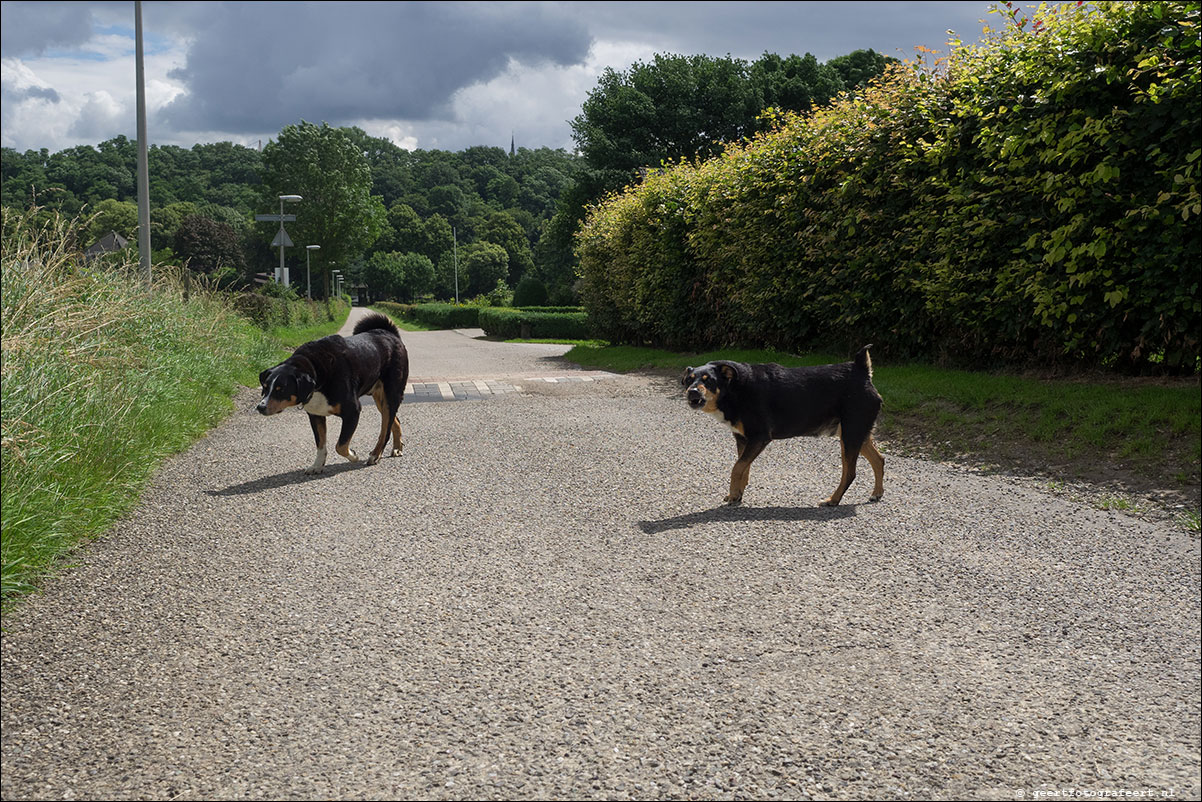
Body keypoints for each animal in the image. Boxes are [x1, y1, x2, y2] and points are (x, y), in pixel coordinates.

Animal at [257, 312, 408, 476]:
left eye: (281, 389)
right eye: (265, 387)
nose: (260, 407)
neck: (318, 374)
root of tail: (389, 333)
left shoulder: (352, 412)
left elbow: (340, 445)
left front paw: (353, 455)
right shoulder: (316, 415)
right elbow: (321, 445)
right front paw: (317, 465)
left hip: (390, 395)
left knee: (385, 430)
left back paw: (375, 455)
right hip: (381, 399)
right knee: (395, 421)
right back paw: (397, 447)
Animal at [687, 346, 884, 507]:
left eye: (708, 380)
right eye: (689, 380)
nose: (692, 391)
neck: (734, 389)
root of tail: (862, 370)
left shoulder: (759, 437)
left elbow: (737, 467)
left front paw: (734, 494)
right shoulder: (743, 439)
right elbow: (744, 468)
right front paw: (737, 493)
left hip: (851, 433)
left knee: (850, 473)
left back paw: (833, 500)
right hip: (856, 433)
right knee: (879, 460)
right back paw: (877, 493)